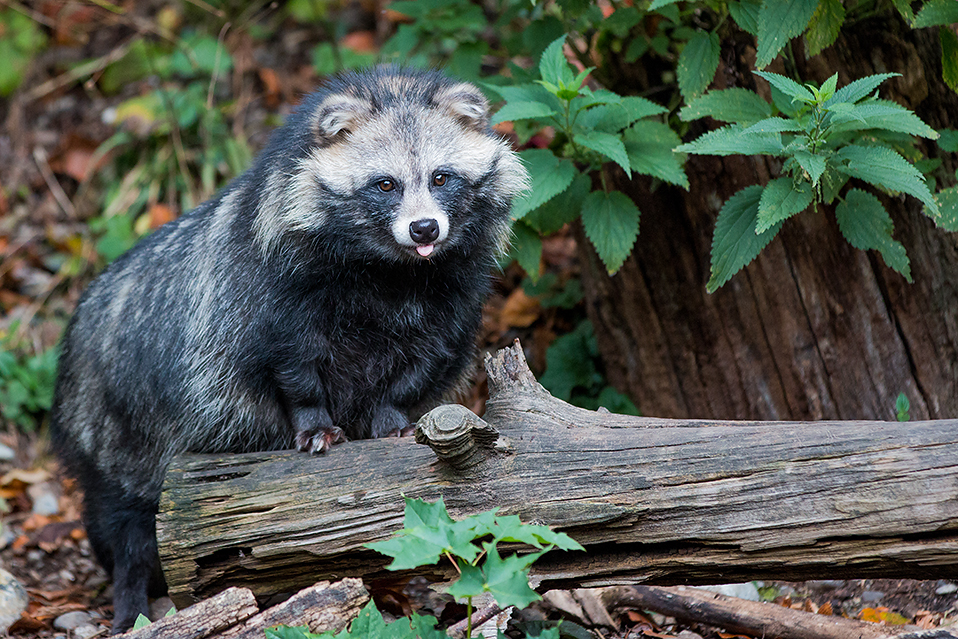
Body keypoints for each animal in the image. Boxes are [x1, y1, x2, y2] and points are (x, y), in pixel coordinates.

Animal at [51, 67, 528, 632]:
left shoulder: (455, 293)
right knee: (126, 523)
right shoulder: (271, 283)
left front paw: (390, 413)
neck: (394, 271)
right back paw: (131, 601)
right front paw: (314, 419)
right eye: (385, 184)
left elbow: (427, 359)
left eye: (441, 177)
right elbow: (288, 359)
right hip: (117, 422)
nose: (424, 228)